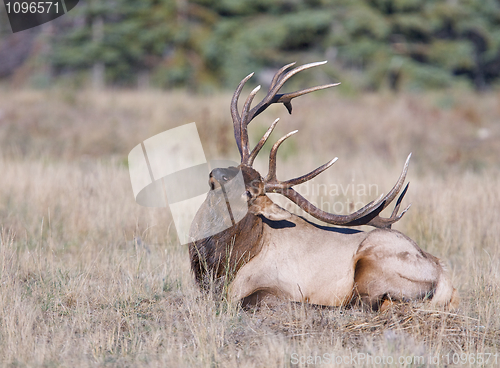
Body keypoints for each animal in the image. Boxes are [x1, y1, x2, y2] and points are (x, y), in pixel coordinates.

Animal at [189, 61, 458, 310]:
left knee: (365, 303)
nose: (216, 174)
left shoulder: (276, 285)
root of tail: (446, 278)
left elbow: (249, 300)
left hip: (376, 263)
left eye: (249, 192)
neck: (224, 262)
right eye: (234, 168)